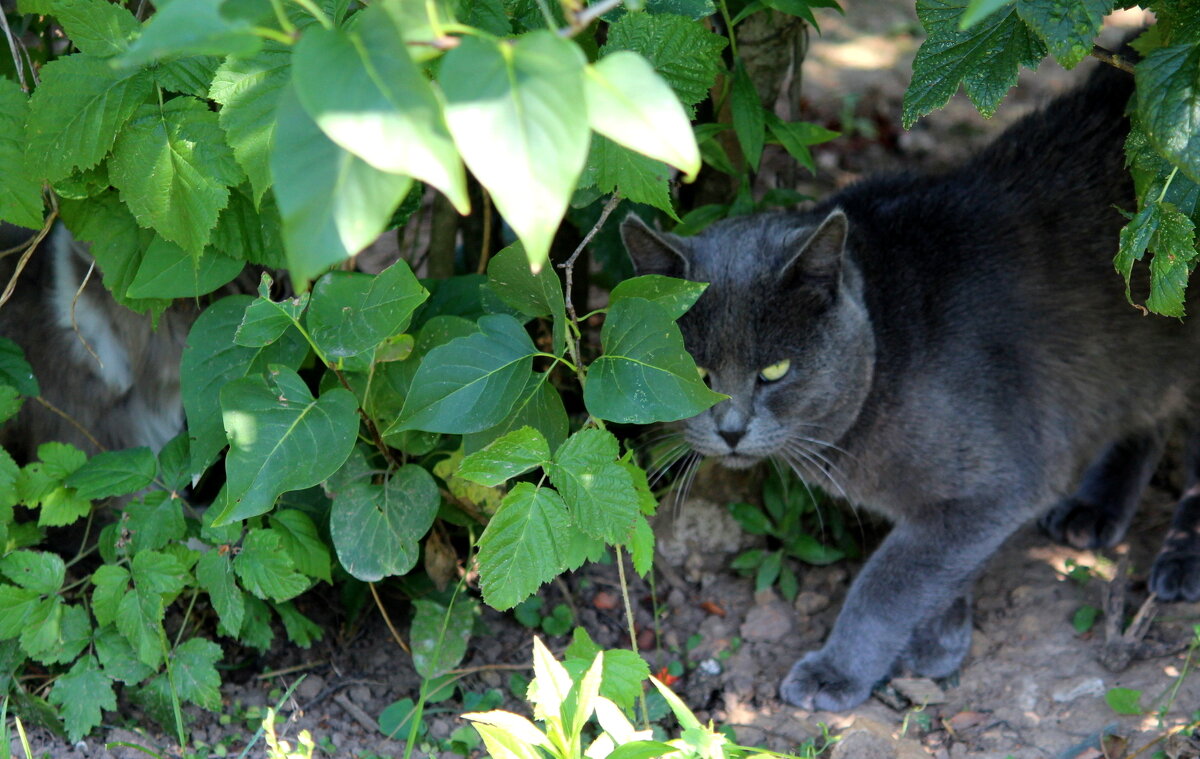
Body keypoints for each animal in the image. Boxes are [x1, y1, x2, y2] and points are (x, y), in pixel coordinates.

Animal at [624, 66, 1200, 710]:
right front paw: (941, 636)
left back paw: (1181, 561)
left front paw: (837, 671)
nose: (729, 429)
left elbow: (891, 580)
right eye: (696, 376)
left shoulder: (1000, 482)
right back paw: (1092, 508)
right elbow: (934, 565)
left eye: (774, 371)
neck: (884, 352)